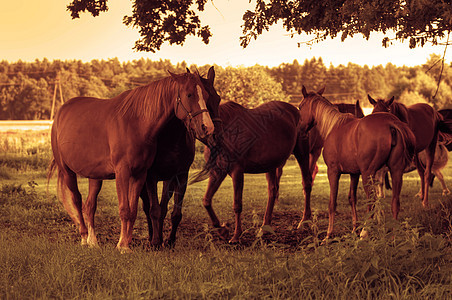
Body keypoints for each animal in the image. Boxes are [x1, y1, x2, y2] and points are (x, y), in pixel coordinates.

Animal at [49, 69, 217, 251]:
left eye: (207, 95)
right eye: (189, 94)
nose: (208, 127)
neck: (136, 122)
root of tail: (61, 112)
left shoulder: (140, 174)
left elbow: (134, 210)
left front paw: (126, 243)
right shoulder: (123, 173)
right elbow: (125, 209)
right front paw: (122, 245)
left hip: (94, 176)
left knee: (90, 205)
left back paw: (93, 241)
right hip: (67, 172)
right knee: (77, 201)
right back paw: (84, 238)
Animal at [200, 101, 308, 244]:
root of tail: (295, 110)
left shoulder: (237, 171)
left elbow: (237, 204)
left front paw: (236, 236)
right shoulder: (217, 171)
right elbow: (206, 200)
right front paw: (223, 231)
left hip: (302, 155)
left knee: (307, 184)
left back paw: (305, 221)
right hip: (271, 165)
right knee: (272, 191)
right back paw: (265, 228)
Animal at [298, 86, 414, 239]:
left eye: (300, 107)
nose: (300, 130)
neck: (333, 126)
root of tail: (390, 123)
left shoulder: (333, 172)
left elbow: (332, 203)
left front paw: (329, 235)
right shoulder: (354, 174)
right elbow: (352, 199)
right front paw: (354, 229)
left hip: (368, 175)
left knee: (372, 202)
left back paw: (365, 232)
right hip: (395, 172)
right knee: (395, 202)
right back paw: (393, 236)